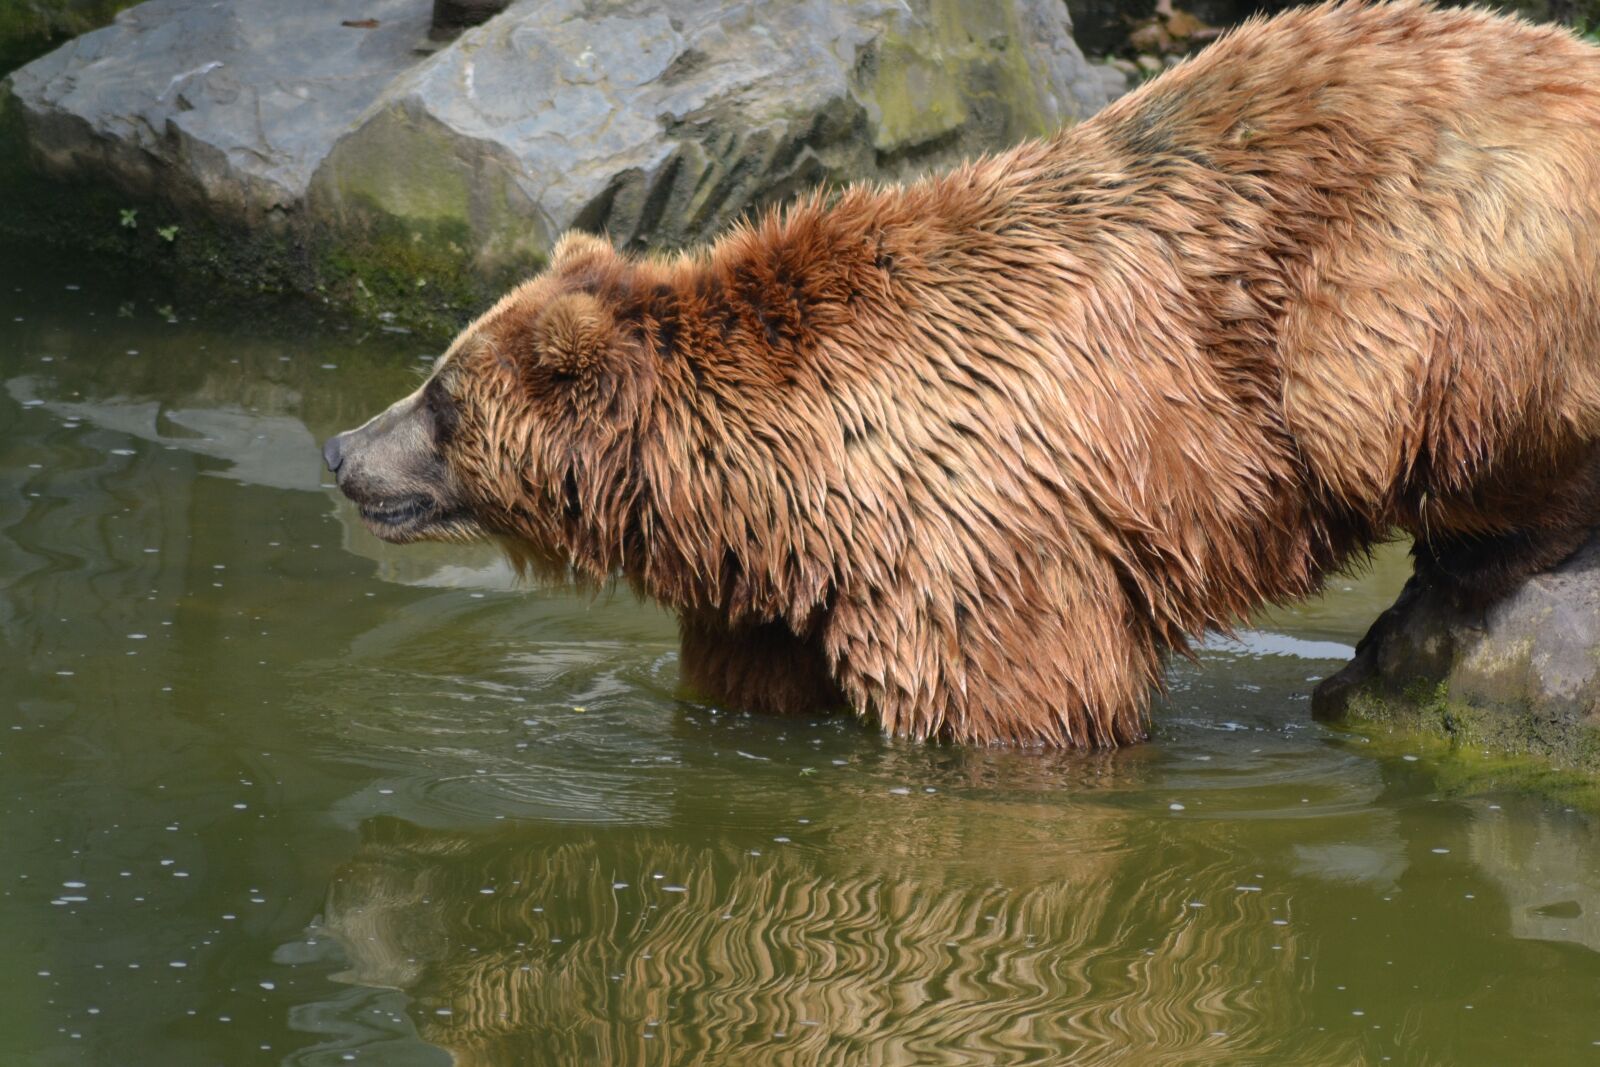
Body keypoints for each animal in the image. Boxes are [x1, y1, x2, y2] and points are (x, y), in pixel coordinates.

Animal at [325, 0, 1600, 748]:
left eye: (440, 398)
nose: (341, 449)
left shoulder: (973, 531)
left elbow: (1017, 703)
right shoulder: (776, 587)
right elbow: (749, 687)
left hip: (1420, 258)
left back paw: (1466, 566)